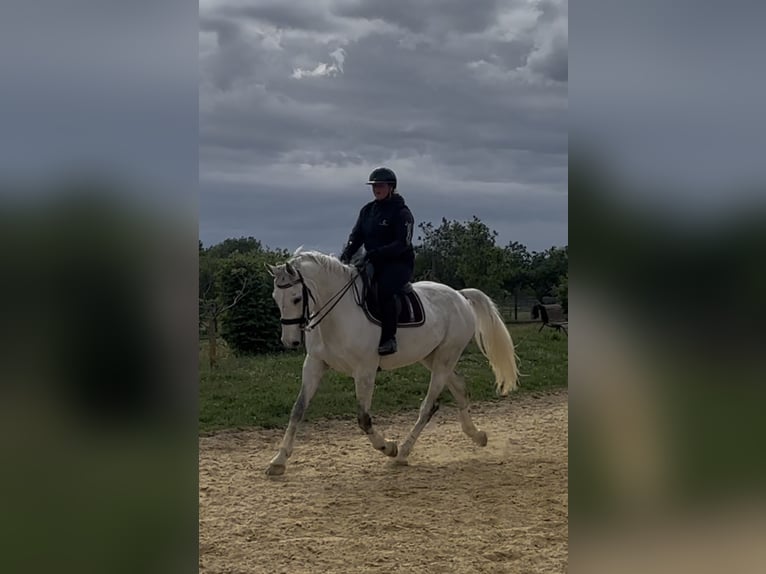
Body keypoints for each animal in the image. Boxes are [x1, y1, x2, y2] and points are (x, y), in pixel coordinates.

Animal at [265, 248, 520, 475]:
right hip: (432, 357)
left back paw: (402, 453)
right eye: (275, 298)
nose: (289, 341)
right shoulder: (315, 365)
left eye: (297, 298)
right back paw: (477, 436)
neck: (338, 314)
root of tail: (460, 295)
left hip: (445, 358)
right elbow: (298, 410)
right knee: (459, 388)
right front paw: (278, 461)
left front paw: (388, 447)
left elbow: (364, 419)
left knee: (428, 406)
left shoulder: (365, 371)